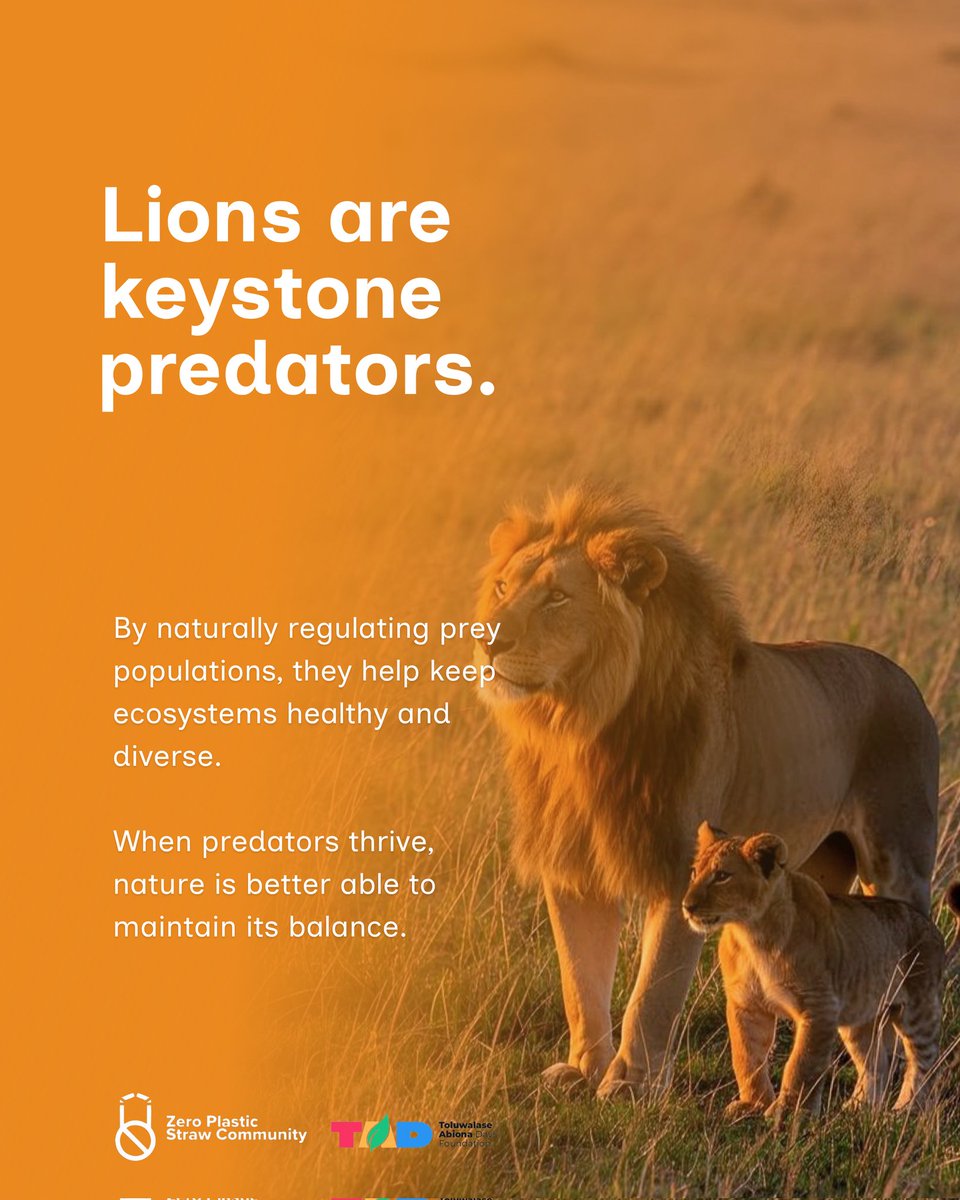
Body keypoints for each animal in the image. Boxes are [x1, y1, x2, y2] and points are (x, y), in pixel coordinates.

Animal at [475, 483, 939, 1099]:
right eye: (503, 587)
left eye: (556, 597)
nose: (487, 641)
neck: (577, 724)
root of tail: (907, 680)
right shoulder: (572, 868)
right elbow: (580, 982)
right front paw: (583, 1071)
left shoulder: (678, 872)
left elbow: (653, 993)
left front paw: (629, 1085)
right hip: (819, 874)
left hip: (899, 864)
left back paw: (879, 1100)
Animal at [684, 822, 956, 1118]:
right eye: (695, 872)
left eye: (722, 876)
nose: (687, 906)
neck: (750, 933)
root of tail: (932, 926)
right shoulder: (746, 1004)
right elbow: (746, 1056)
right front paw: (753, 1104)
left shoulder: (819, 1005)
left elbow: (801, 1064)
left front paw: (787, 1112)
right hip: (859, 1017)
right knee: (876, 1062)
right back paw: (858, 1107)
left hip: (917, 1009)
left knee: (926, 1061)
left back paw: (907, 1109)